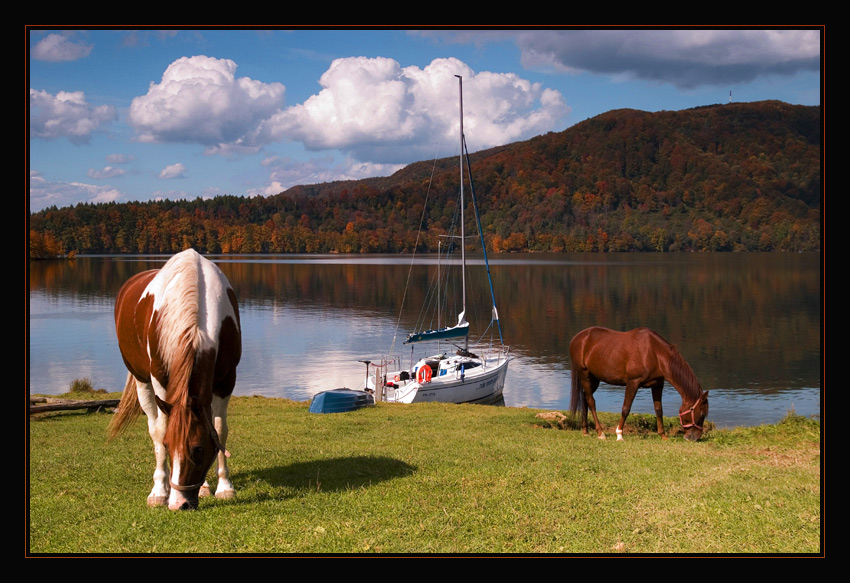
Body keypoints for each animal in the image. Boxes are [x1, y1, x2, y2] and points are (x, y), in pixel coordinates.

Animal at [109, 251, 240, 512]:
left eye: (198, 449)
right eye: (169, 446)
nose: (180, 504)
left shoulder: (226, 380)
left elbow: (219, 430)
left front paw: (224, 487)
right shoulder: (160, 381)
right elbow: (160, 430)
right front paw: (160, 492)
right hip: (142, 380)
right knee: (153, 426)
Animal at [568, 328, 708, 442]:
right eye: (702, 414)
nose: (693, 438)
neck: (655, 353)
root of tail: (578, 338)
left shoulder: (658, 384)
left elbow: (659, 410)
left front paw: (663, 435)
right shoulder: (633, 383)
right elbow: (626, 408)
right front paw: (619, 434)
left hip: (594, 378)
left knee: (585, 398)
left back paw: (586, 431)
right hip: (584, 374)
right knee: (591, 401)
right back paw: (600, 433)